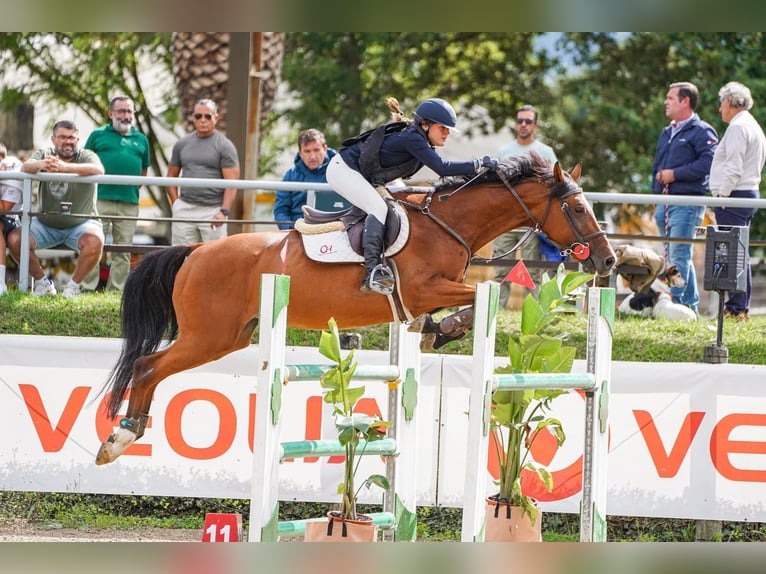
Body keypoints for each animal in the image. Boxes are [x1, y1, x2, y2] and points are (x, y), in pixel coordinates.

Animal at [96, 154, 616, 468]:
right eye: (576, 209)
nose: (608, 261)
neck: (448, 223)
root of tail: (194, 253)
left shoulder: (425, 294)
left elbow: (470, 301)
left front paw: (434, 331)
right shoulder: (424, 288)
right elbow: (483, 296)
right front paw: (447, 329)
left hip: (229, 335)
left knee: (151, 367)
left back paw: (125, 434)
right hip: (210, 336)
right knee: (148, 366)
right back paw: (120, 438)